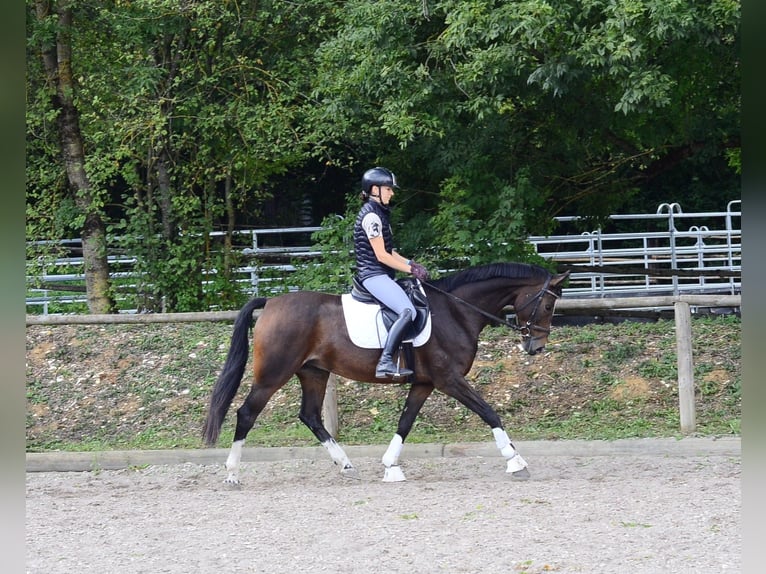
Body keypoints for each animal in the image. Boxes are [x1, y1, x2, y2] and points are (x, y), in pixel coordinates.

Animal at [202, 262, 569, 484]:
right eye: (548, 305)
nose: (536, 347)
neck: (456, 311)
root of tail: (271, 303)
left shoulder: (424, 383)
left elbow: (405, 421)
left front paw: (391, 465)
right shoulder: (449, 380)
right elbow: (489, 412)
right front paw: (515, 460)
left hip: (314, 373)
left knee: (310, 416)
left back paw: (346, 464)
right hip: (274, 374)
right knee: (247, 413)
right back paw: (232, 473)